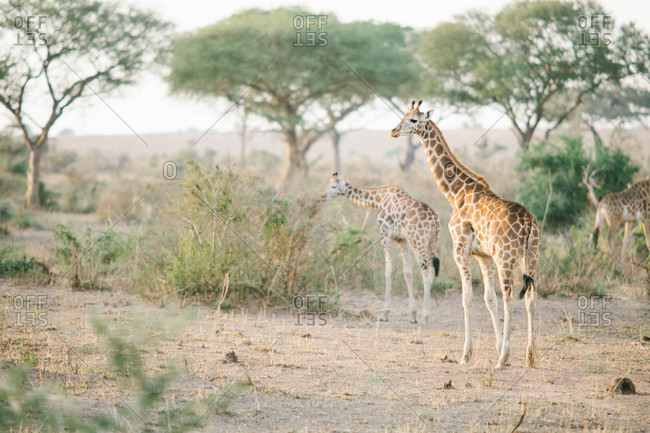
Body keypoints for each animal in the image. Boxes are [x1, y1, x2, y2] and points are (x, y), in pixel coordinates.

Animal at [325, 173, 441, 323]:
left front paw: (384, 314)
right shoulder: (402, 239)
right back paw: (424, 317)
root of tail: (434, 221)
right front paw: (412, 315)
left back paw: (425, 317)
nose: (325, 195)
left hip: (418, 242)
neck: (379, 199)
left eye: (333, 186)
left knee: (426, 272)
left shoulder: (385, 235)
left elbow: (388, 271)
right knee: (431, 271)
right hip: (431, 243)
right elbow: (407, 273)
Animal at [390, 99, 540, 369]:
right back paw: (529, 357)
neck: (455, 192)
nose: (393, 131)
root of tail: (527, 223)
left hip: (506, 257)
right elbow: (488, 299)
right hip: (531, 254)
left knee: (510, 298)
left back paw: (503, 359)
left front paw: (466, 355)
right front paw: (496, 346)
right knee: (531, 298)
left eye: (413, 120)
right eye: (403, 116)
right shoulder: (483, 255)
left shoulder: (460, 249)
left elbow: (467, 299)